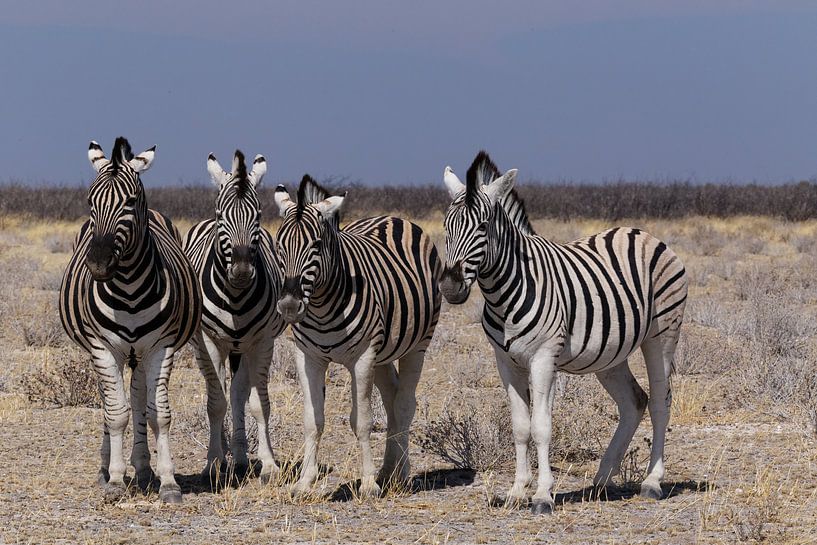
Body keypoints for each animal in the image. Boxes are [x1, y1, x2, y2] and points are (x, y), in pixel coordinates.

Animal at [59, 137, 202, 503]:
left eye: (130, 201)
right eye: (90, 201)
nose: (97, 264)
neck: (129, 288)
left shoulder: (162, 347)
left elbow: (158, 414)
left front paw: (168, 482)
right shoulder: (102, 347)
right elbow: (116, 414)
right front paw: (114, 480)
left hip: (140, 353)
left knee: (138, 398)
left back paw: (144, 468)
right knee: (112, 402)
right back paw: (107, 468)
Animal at [183, 150, 285, 484]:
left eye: (258, 216)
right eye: (220, 217)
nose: (241, 271)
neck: (237, 297)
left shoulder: (263, 341)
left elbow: (258, 403)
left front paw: (269, 464)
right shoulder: (208, 341)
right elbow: (215, 403)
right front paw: (214, 463)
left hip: (242, 347)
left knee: (238, 393)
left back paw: (239, 457)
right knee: (224, 392)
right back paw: (226, 455)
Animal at [273, 176, 442, 498]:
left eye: (316, 245)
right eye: (278, 245)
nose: (288, 306)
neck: (322, 305)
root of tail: (391, 217)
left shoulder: (363, 357)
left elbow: (362, 421)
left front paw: (367, 485)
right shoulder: (308, 357)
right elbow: (312, 420)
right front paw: (304, 482)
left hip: (417, 345)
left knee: (405, 404)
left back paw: (401, 474)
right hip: (383, 352)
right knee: (392, 399)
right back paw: (388, 470)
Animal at [440, 151, 687, 514]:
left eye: (483, 227)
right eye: (446, 226)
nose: (450, 287)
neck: (505, 292)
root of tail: (641, 233)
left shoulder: (544, 358)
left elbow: (541, 427)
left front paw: (543, 495)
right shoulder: (505, 362)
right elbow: (520, 426)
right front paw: (517, 491)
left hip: (663, 335)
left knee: (659, 401)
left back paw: (652, 482)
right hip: (610, 353)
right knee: (634, 401)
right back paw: (602, 480)